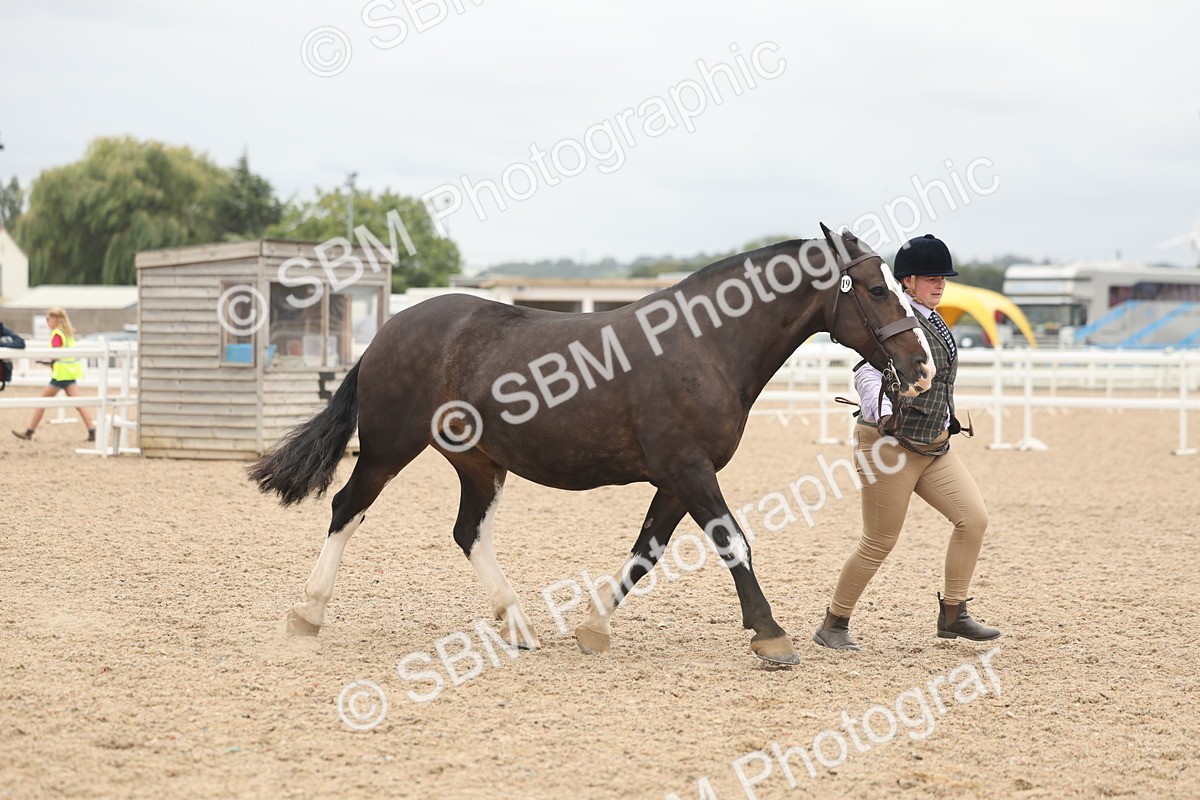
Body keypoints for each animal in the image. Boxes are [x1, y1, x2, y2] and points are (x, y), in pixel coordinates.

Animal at [249, 224, 934, 666]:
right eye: (877, 291)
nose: (922, 367)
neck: (704, 344)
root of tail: (390, 328)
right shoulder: (689, 470)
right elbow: (733, 542)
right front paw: (770, 635)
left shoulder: (677, 478)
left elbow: (646, 552)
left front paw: (593, 627)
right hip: (389, 448)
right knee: (347, 510)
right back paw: (307, 614)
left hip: (479, 464)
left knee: (468, 531)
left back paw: (517, 624)